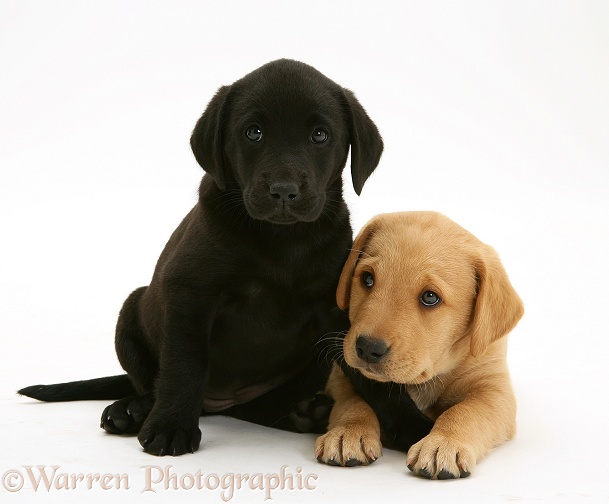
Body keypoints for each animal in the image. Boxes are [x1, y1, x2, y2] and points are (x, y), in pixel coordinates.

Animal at [20, 58, 384, 456]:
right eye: (253, 133)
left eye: (320, 135)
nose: (284, 191)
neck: (281, 241)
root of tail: (223, 402)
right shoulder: (191, 294)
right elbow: (185, 365)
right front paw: (170, 426)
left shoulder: (332, 309)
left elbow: (346, 367)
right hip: (131, 311)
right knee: (151, 383)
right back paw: (132, 411)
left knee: (260, 405)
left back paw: (304, 412)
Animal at [314, 211, 524, 478]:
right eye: (367, 279)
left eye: (430, 297)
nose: (368, 348)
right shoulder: (342, 373)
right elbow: (353, 401)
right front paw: (348, 431)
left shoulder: (494, 389)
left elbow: (466, 412)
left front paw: (443, 443)